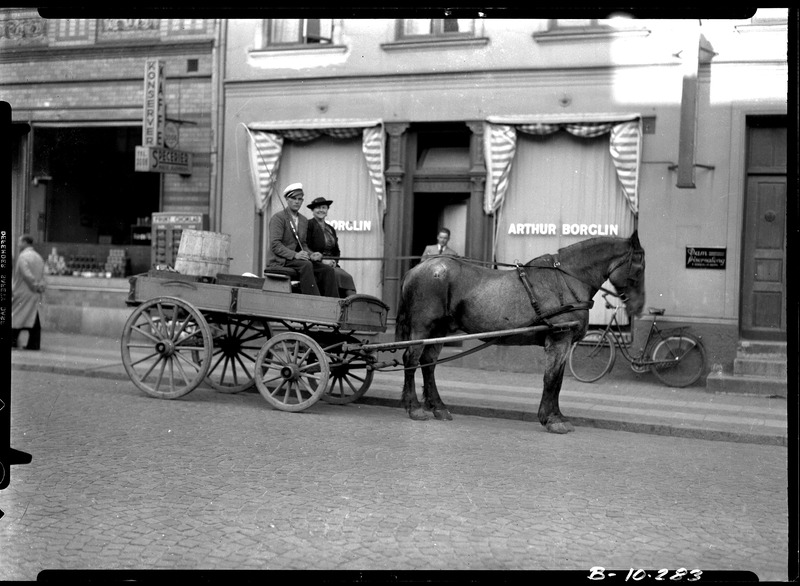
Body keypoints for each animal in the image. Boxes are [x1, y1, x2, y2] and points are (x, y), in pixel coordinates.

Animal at [394, 231, 646, 434]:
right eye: (640, 266)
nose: (639, 308)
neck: (566, 280)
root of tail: (416, 269)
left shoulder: (563, 343)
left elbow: (558, 380)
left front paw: (556, 415)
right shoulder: (559, 339)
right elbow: (552, 379)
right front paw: (552, 419)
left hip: (440, 329)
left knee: (428, 363)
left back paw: (438, 407)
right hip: (423, 326)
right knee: (412, 360)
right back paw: (414, 407)